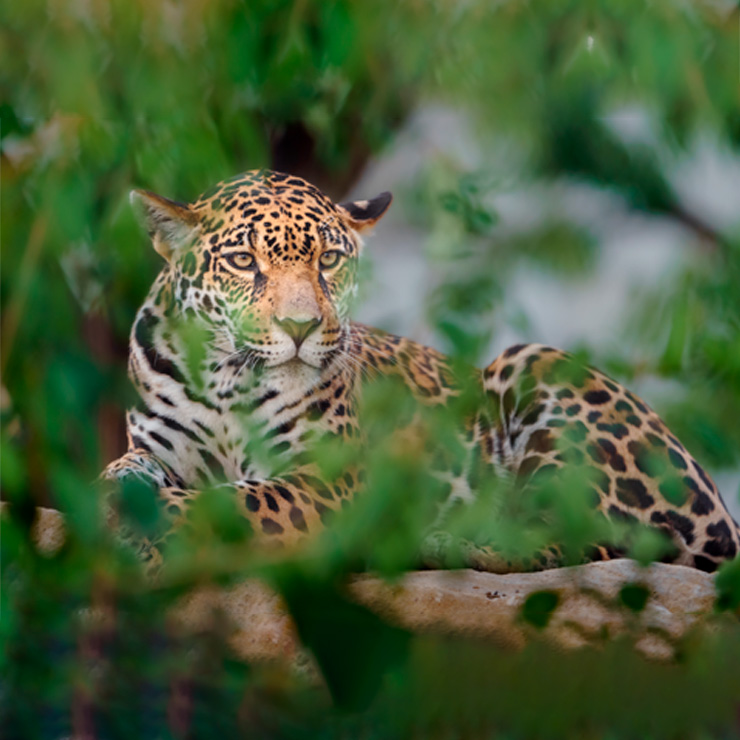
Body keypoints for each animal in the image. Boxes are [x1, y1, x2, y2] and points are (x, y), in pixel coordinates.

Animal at [104, 168, 740, 575]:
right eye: (242, 261)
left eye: (328, 260)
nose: (300, 328)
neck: (227, 380)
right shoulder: (161, 448)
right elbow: (127, 471)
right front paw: (121, 496)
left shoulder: (324, 480)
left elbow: (232, 503)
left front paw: (144, 526)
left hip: (534, 363)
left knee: (590, 543)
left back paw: (447, 544)